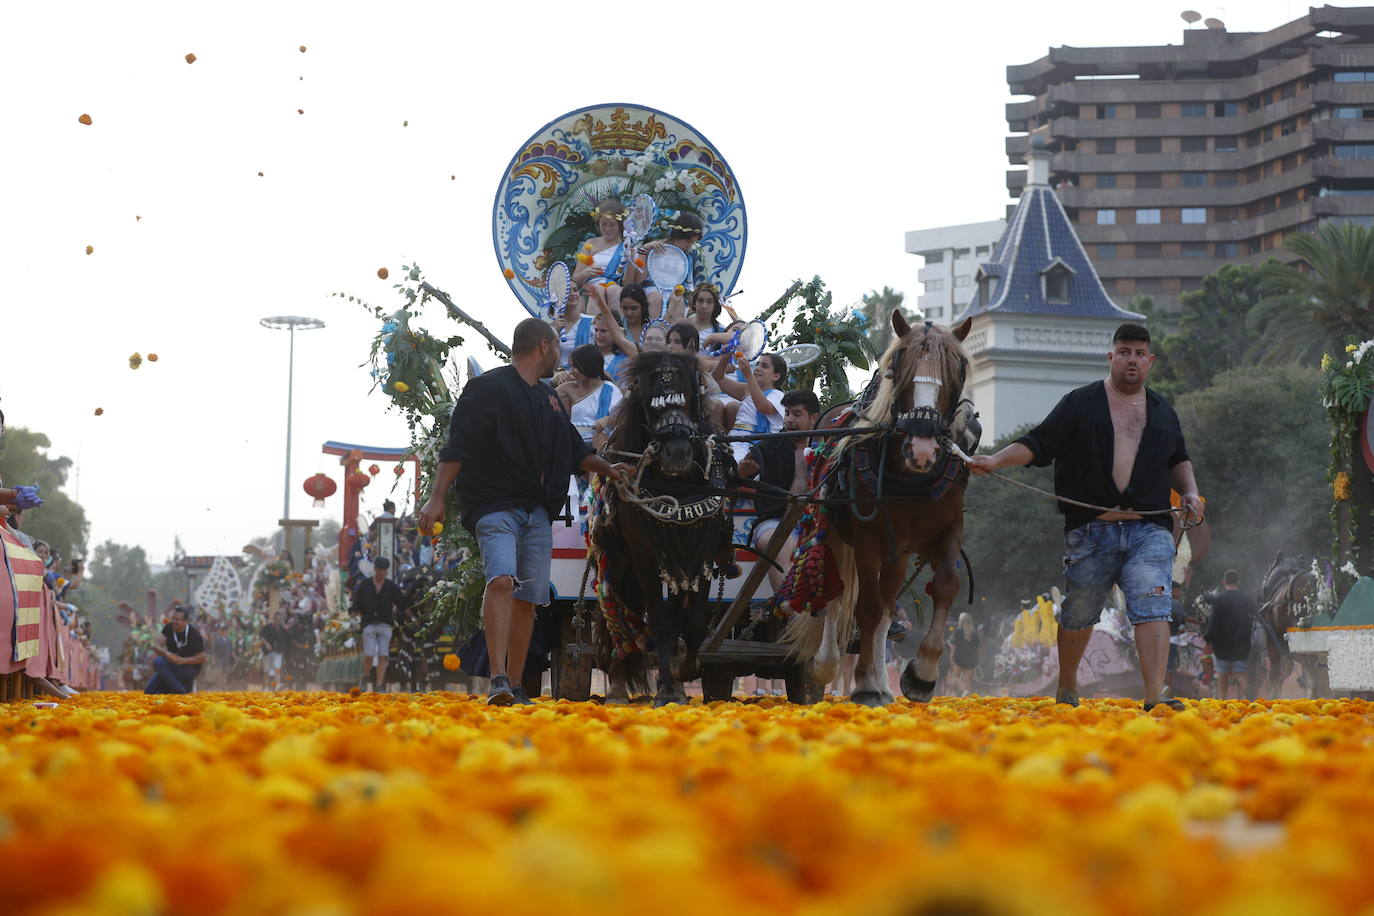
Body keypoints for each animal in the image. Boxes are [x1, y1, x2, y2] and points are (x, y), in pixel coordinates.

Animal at [785, 311, 978, 708]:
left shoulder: (947, 530)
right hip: (835, 531)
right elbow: (867, 608)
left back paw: (882, 680)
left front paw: (921, 674)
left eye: (958, 367)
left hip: (897, 552)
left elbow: (945, 587)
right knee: (836, 592)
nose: (922, 446)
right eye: (899, 364)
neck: (909, 477)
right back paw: (829, 663)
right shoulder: (867, 540)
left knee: (888, 607)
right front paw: (863, 685)